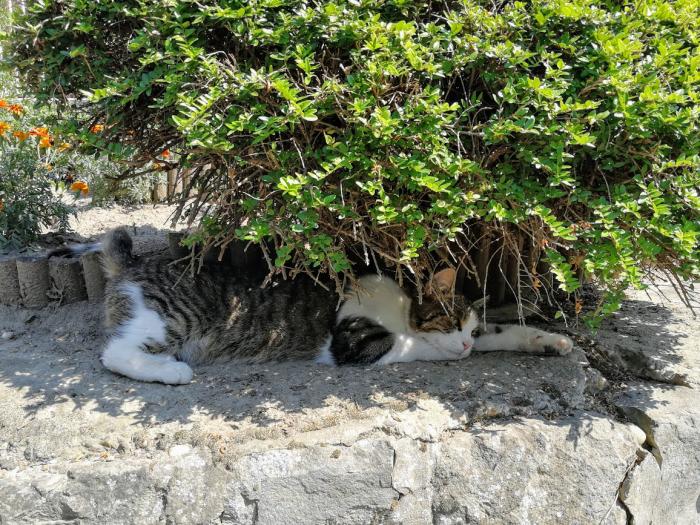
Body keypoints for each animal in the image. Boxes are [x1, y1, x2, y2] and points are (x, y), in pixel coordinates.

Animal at [60, 227, 576, 382]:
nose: (466, 347)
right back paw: (171, 370)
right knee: (115, 352)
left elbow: (505, 332)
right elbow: (415, 346)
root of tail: (132, 263)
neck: (399, 304)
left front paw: (546, 339)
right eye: (450, 322)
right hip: (165, 319)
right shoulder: (355, 341)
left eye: (470, 329)